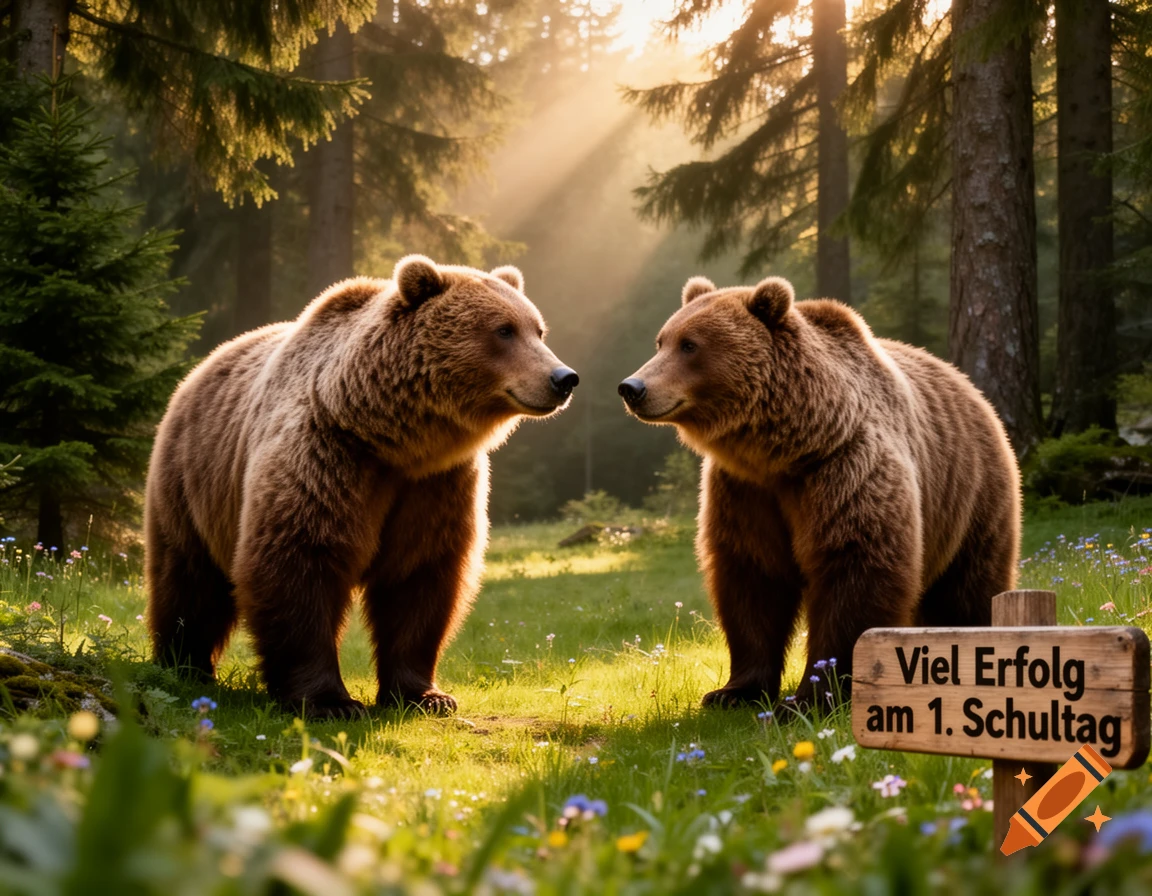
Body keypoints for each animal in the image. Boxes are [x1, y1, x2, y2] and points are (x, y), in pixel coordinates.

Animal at [145, 255, 578, 718]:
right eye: (503, 329)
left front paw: (425, 695)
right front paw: (329, 701)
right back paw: (183, 665)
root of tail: (199, 368)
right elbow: (300, 562)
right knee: (189, 579)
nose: (564, 378)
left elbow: (420, 577)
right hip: (191, 481)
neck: (393, 439)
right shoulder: (328, 456)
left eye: (537, 329)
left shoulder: (435, 485)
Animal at [618, 275, 1020, 709]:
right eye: (662, 341)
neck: (782, 450)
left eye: (690, 345)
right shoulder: (744, 491)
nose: (632, 387)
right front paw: (733, 691)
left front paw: (811, 696)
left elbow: (855, 567)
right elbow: (752, 577)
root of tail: (967, 383)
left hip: (971, 494)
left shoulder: (843, 468)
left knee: (967, 588)